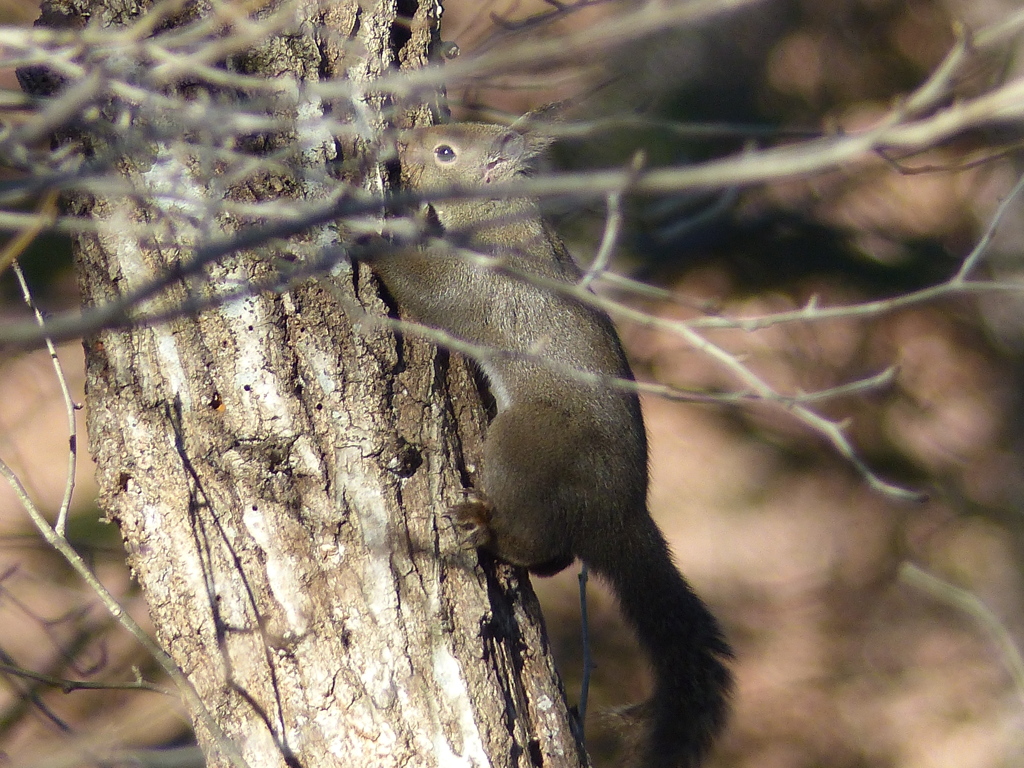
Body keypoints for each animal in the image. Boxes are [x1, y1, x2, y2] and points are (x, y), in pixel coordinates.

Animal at [364, 123, 733, 765]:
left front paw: (353, 235)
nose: (401, 140)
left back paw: (487, 531)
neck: (502, 215)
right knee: (559, 555)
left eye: (445, 152)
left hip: (526, 441)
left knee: (535, 541)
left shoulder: (482, 283)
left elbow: (428, 290)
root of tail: (619, 512)